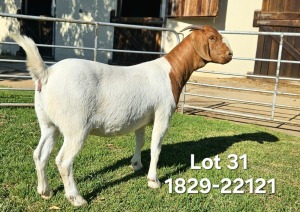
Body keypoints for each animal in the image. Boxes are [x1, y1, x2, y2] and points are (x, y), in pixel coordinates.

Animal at [10, 24, 232, 205]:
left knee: (40, 155)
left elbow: (140, 141)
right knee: (63, 161)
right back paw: (76, 198)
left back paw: (45, 191)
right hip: (76, 126)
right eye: (212, 37)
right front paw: (153, 181)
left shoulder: (142, 118)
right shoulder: (163, 113)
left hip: (49, 123)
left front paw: (136, 164)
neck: (170, 72)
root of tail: (46, 74)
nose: (230, 54)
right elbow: (156, 148)